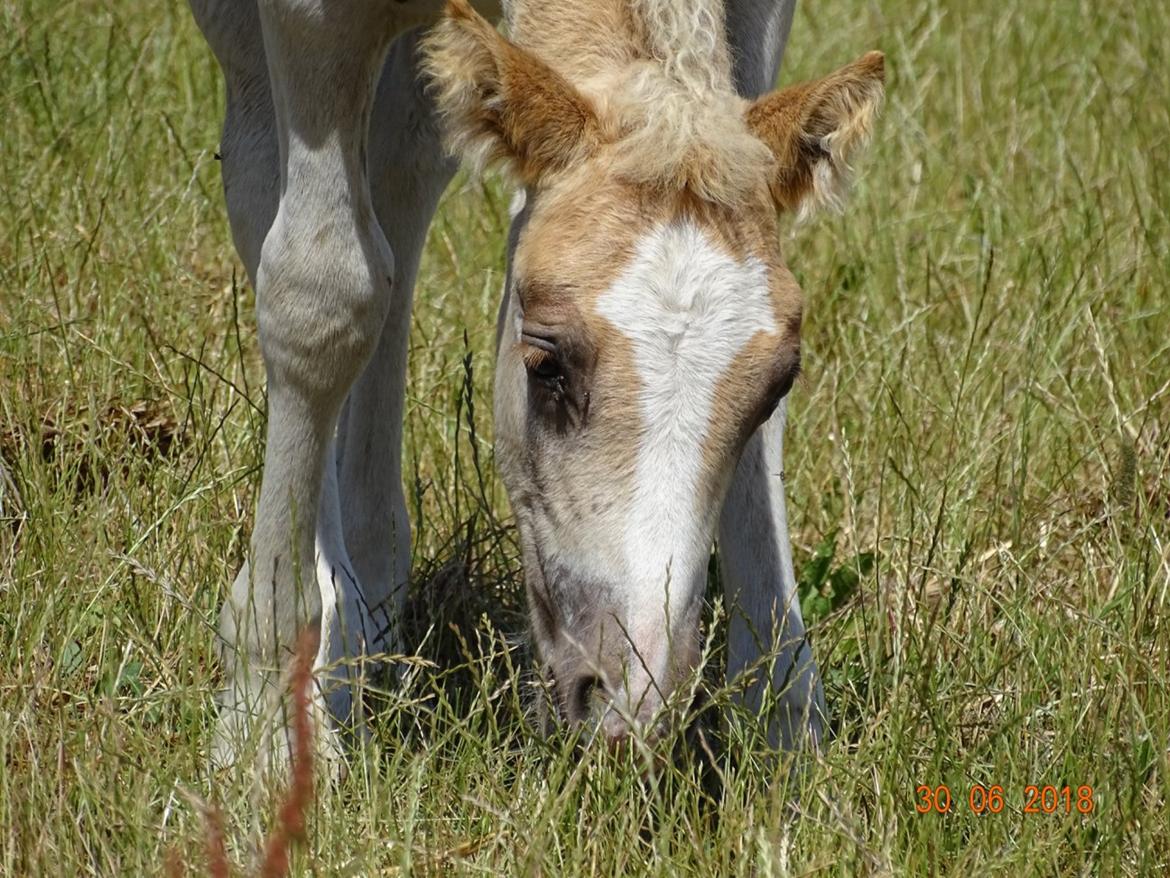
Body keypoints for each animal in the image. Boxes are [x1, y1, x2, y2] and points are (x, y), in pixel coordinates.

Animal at [189, 0, 884, 767]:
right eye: (548, 365)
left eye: (776, 385)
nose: (628, 702)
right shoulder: (309, 19)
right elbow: (319, 297)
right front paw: (264, 727)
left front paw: (787, 724)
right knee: (266, 175)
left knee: (404, 165)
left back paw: (368, 617)